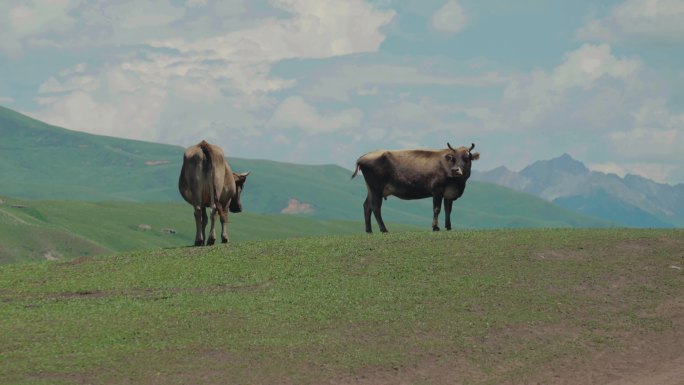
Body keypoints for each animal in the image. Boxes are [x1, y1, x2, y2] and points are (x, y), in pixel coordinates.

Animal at [352, 141, 480, 231]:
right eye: (453, 158)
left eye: (466, 157)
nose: (455, 170)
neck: (458, 183)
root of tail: (363, 156)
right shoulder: (437, 190)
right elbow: (437, 208)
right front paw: (435, 227)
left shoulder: (449, 193)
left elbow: (448, 209)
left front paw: (448, 227)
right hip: (376, 188)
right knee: (375, 207)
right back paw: (384, 229)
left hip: (371, 189)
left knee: (367, 205)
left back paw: (369, 230)